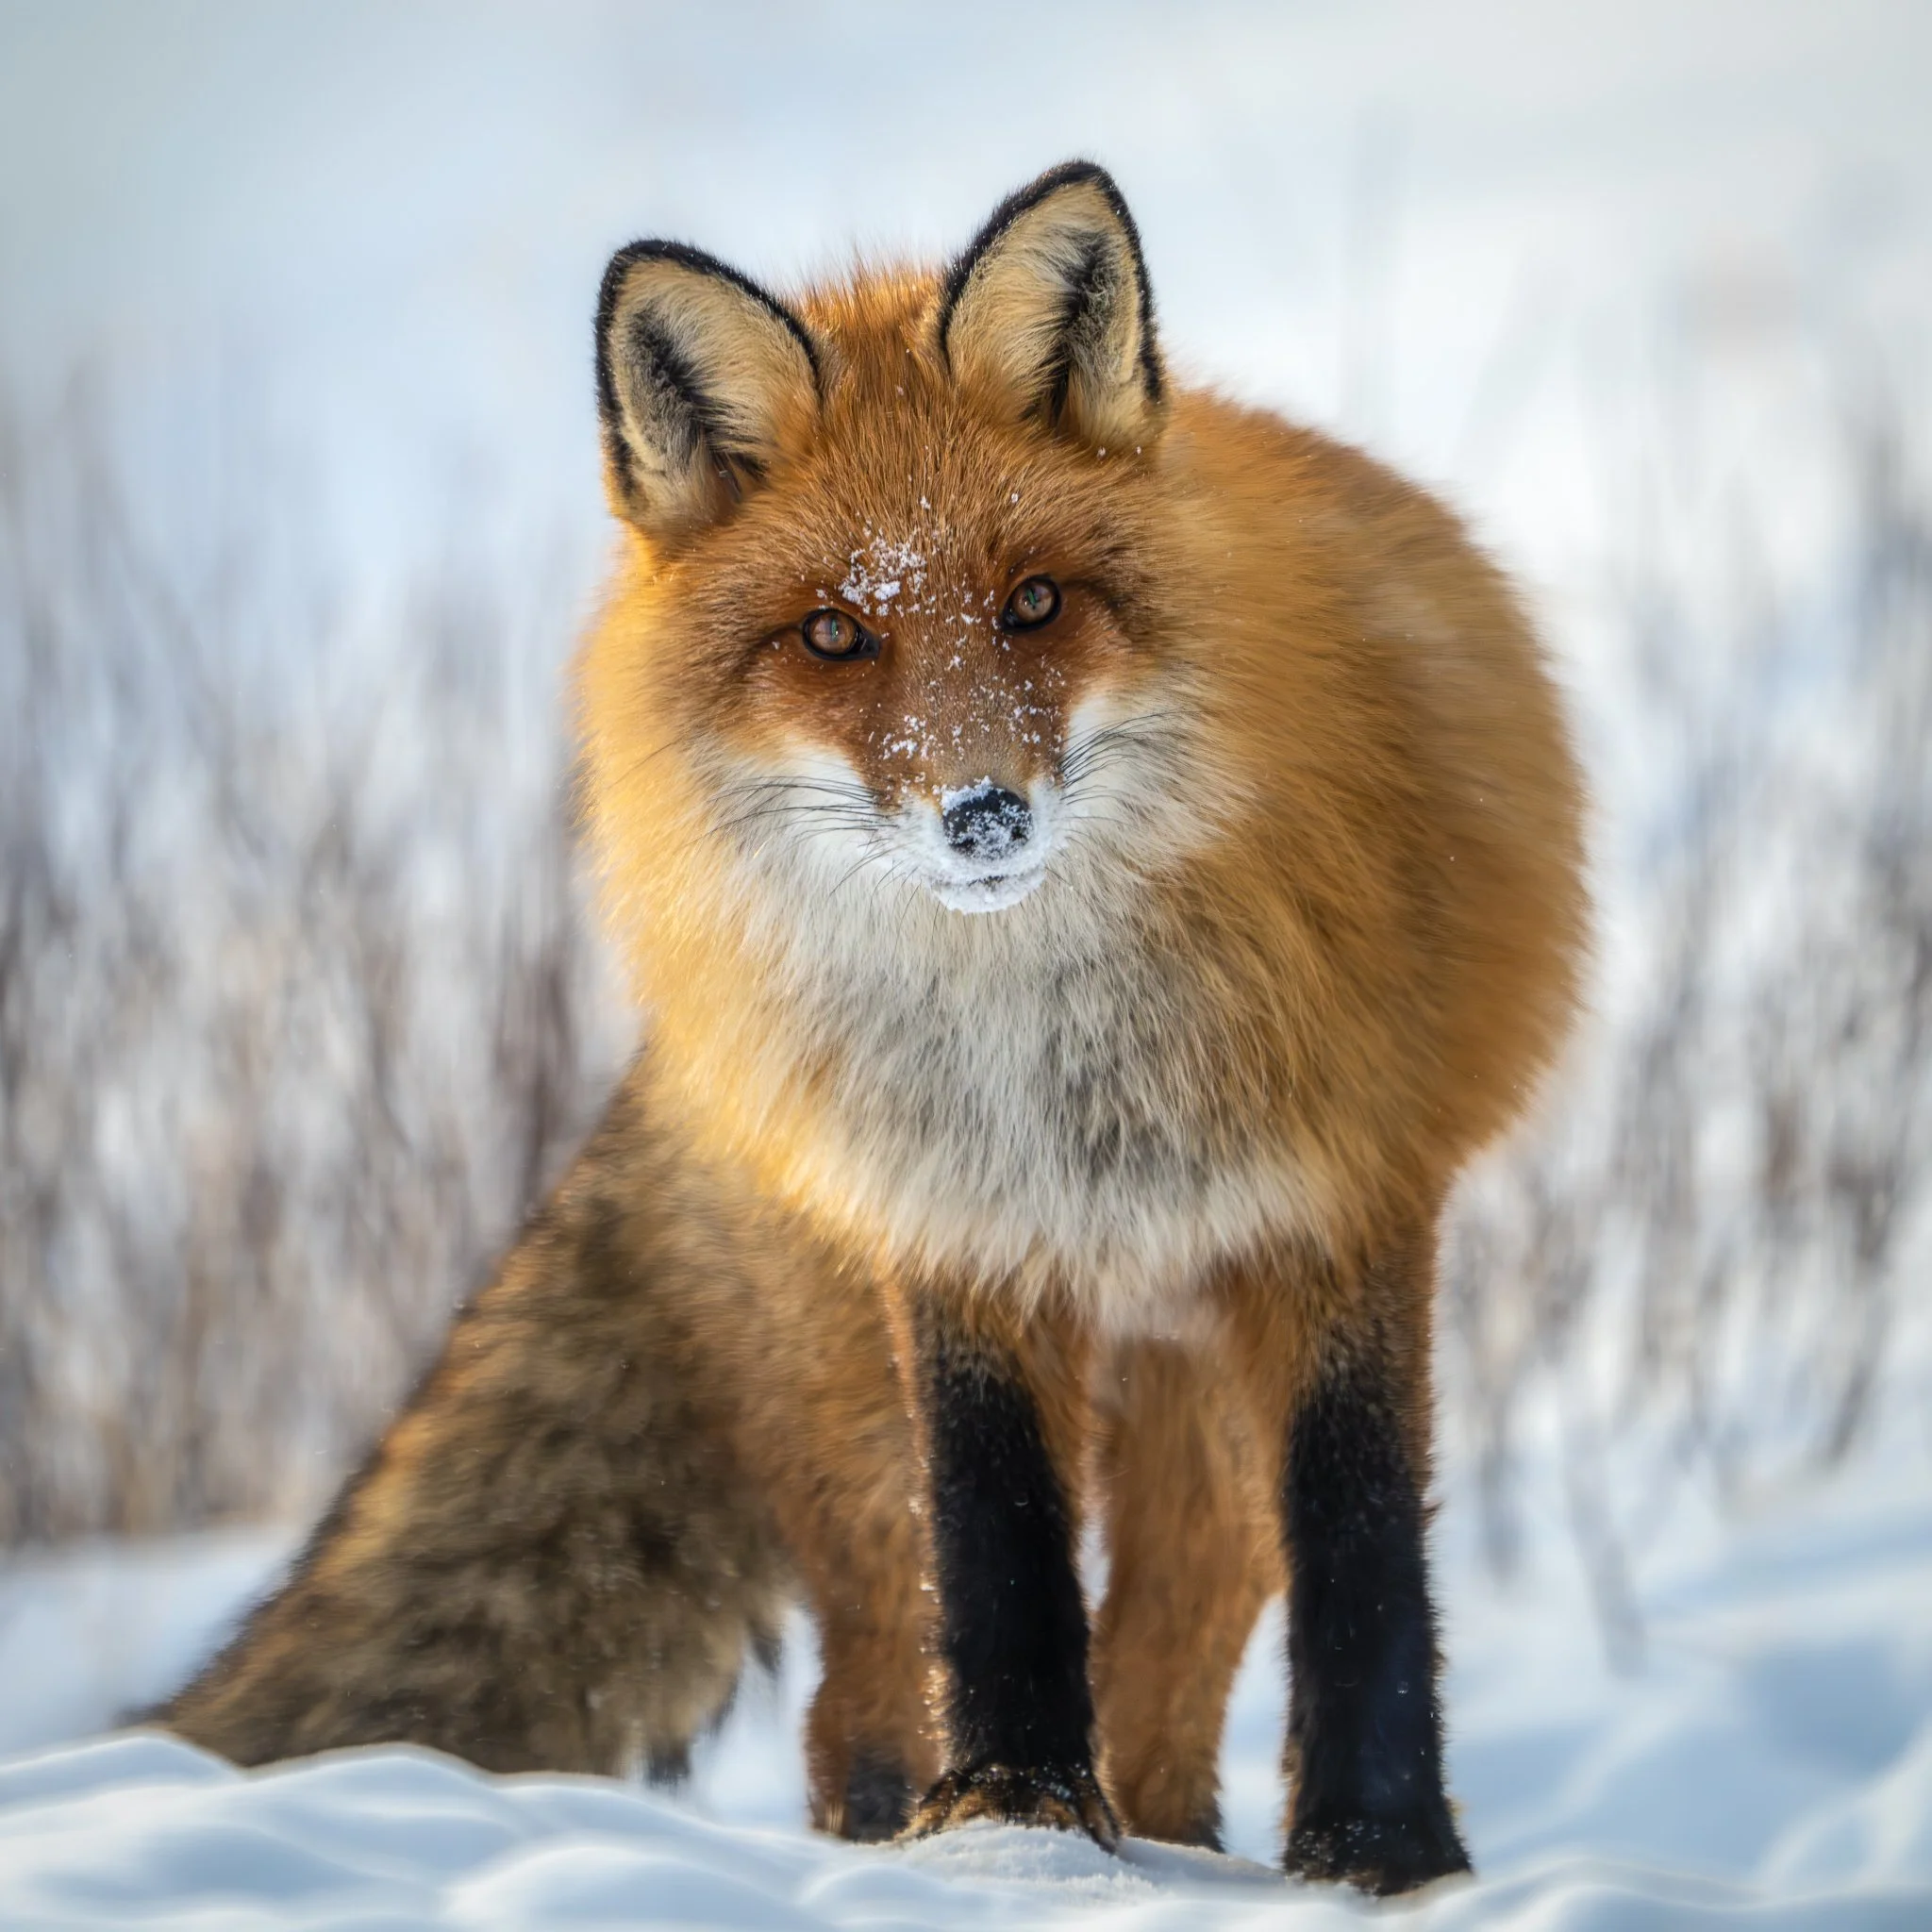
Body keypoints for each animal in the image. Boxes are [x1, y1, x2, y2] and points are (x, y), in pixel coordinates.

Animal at [164, 161, 1586, 1896]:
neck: (1053, 1073)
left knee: (1165, 1672)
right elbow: (1000, 1560)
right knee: (863, 1692)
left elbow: (1365, 1554)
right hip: (863, 1416)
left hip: (1195, 1435)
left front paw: (1382, 1851)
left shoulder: (1338, 1213)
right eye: (836, 633)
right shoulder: (956, 1239)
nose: (981, 815)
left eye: (1035, 603)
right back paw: (901, 1838)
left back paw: (1170, 1846)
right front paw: (1013, 1818)